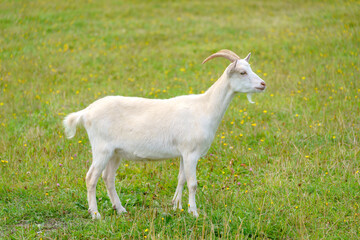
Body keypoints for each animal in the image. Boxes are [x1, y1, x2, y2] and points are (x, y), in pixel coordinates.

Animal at [63, 49, 266, 219]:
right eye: (242, 72)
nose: (263, 84)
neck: (205, 107)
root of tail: (86, 112)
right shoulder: (191, 152)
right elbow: (193, 183)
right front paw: (194, 213)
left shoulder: (184, 153)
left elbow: (181, 179)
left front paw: (177, 206)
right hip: (101, 149)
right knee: (91, 178)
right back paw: (95, 214)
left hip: (115, 153)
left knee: (108, 177)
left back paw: (120, 209)